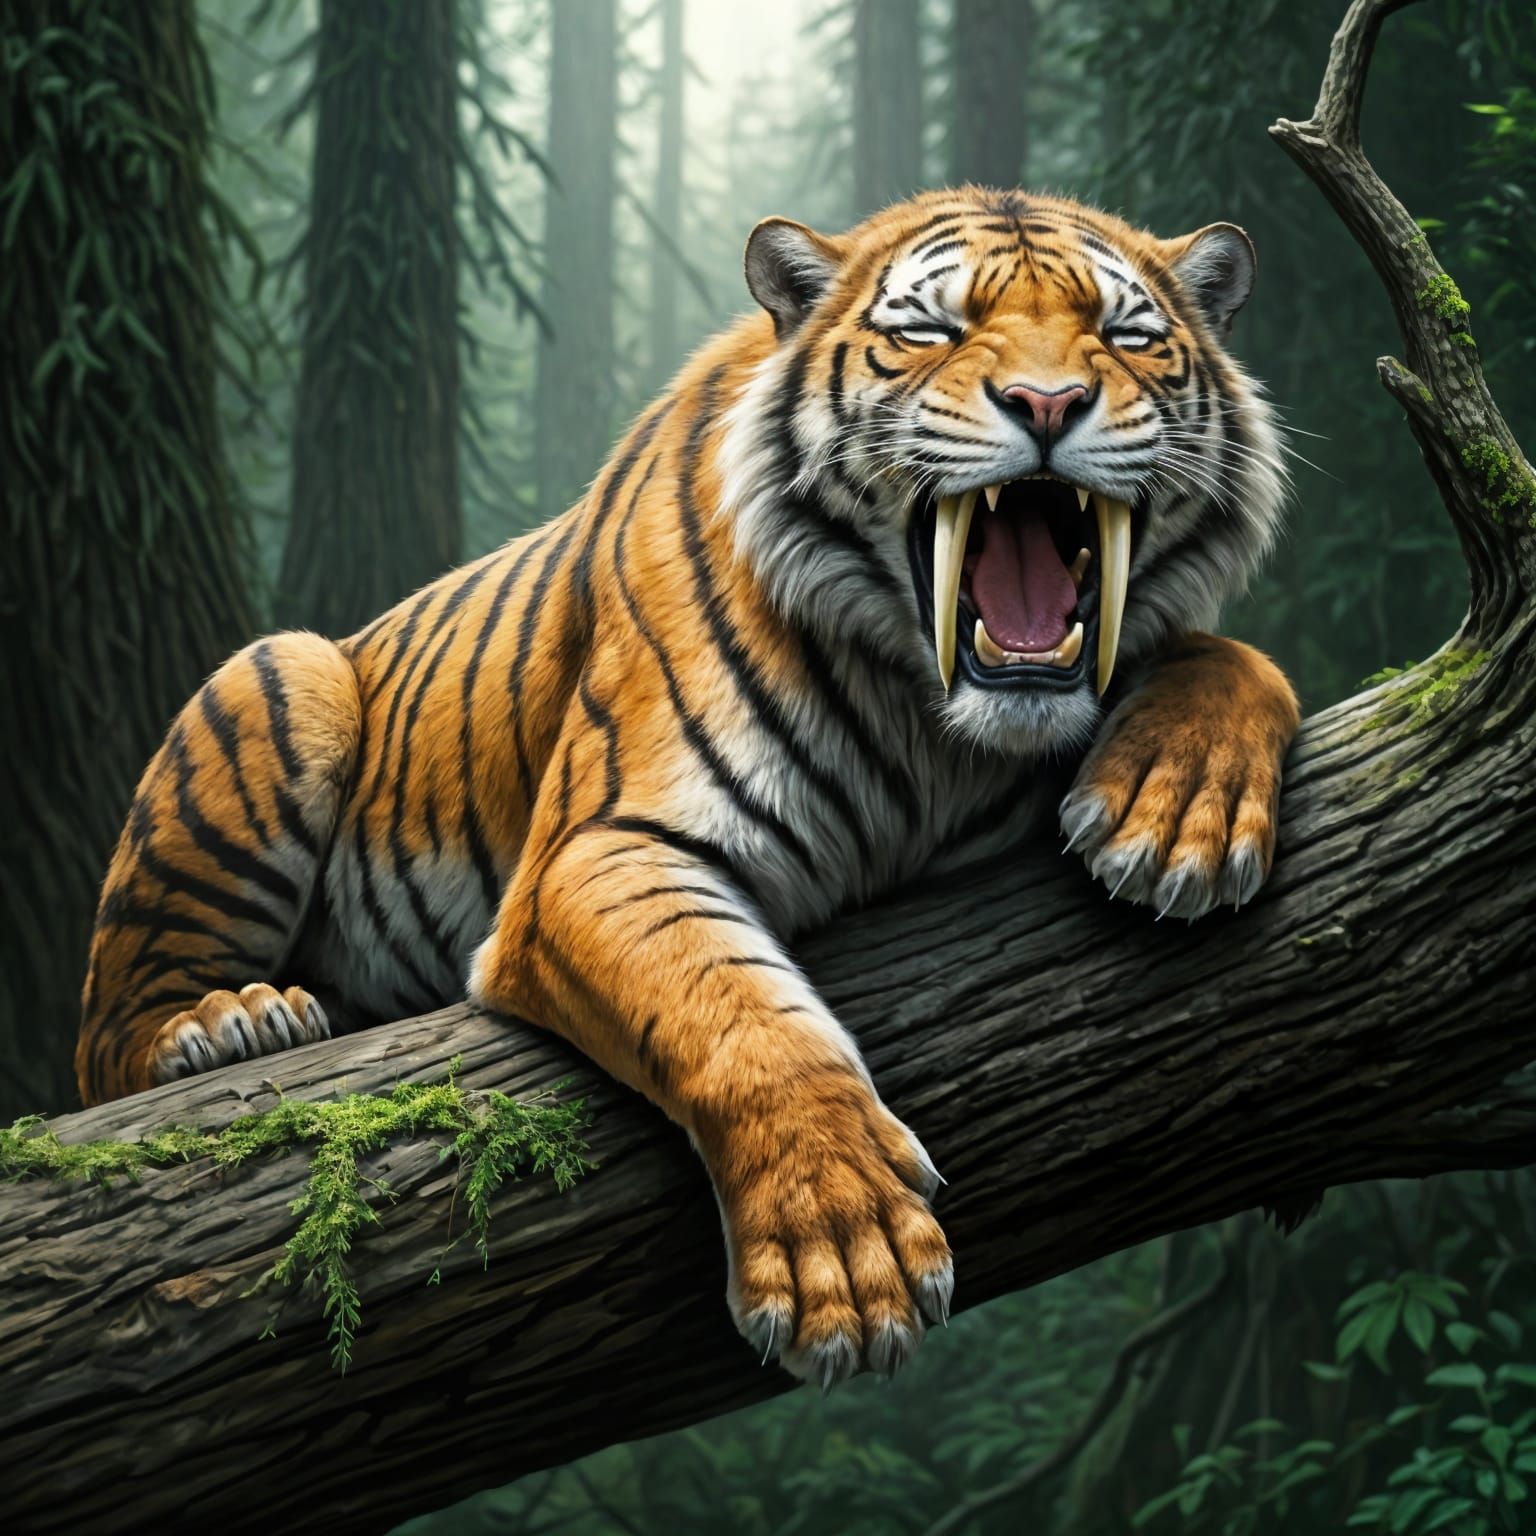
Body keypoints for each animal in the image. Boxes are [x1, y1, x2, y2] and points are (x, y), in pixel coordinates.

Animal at [77, 187, 1300, 1388]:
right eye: (931, 332)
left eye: (1125, 336)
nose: (1048, 402)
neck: (938, 728)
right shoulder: (600, 847)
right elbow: (738, 1016)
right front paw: (843, 1256)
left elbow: (1240, 656)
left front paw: (1176, 813)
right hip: (284, 677)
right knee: (105, 1048)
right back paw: (233, 1022)